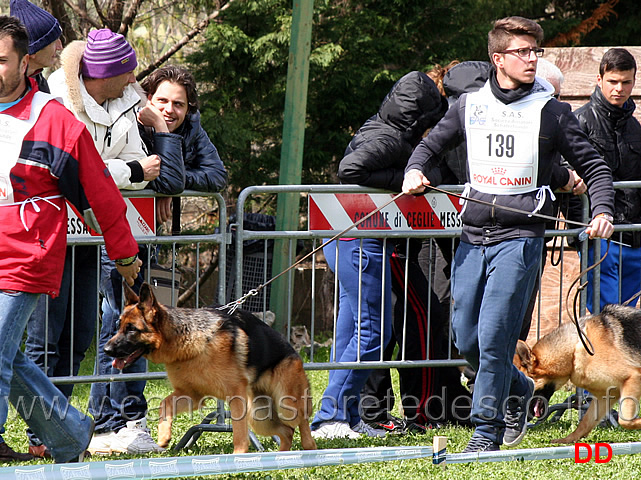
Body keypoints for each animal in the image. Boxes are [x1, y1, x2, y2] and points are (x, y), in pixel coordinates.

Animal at [102, 282, 318, 454]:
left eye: (132, 329)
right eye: (119, 326)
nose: (106, 349)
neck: (187, 343)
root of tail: (293, 351)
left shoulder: (236, 395)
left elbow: (240, 435)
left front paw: (238, 457)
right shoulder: (192, 395)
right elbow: (164, 404)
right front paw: (163, 435)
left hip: (285, 403)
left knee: (302, 421)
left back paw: (308, 447)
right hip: (259, 415)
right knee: (287, 431)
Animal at [512, 304, 641, 442]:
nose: (520, 422)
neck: (574, 349)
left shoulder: (633, 377)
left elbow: (625, 420)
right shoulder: (605, 395)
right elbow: (585, 423)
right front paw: (566, 440)